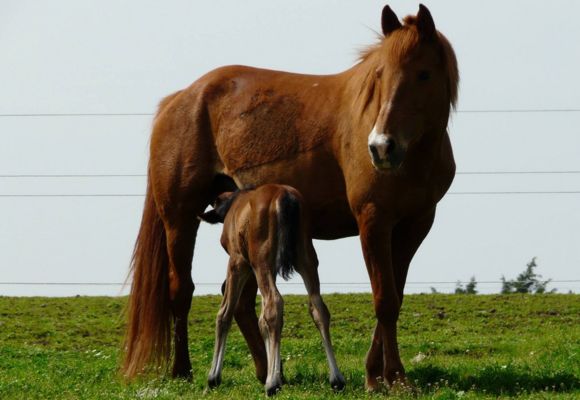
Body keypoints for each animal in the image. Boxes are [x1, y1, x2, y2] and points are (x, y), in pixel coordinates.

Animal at [122, 3, 458, 390]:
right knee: (181, 291)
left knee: (240, 303)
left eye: (423, 74)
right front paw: (390, 377)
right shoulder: (373, 221)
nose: (380, 147)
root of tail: (179, 98)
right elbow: (384, 299)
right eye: (378, 75)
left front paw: (379, 373)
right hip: (179, 220)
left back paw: (262, 370)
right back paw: (184, 370)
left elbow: (395, 296)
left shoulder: (414, 225)